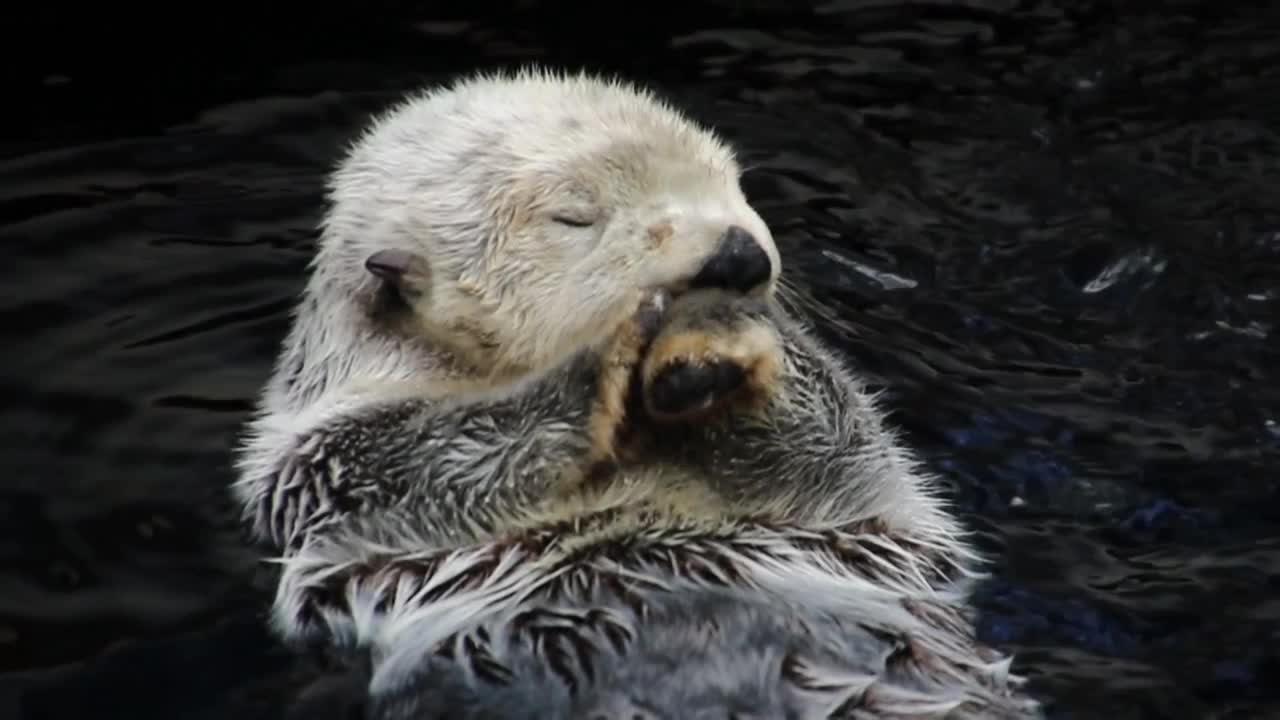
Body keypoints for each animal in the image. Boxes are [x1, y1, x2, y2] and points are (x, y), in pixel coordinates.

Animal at [235, 67, 1044, 717]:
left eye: (734, 185)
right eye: (574, 216)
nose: (738, 256)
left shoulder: (861, 499)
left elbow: (840, 442)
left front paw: (727, 339)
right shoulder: (323, 466)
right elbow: (430, 452)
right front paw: (607, 354)